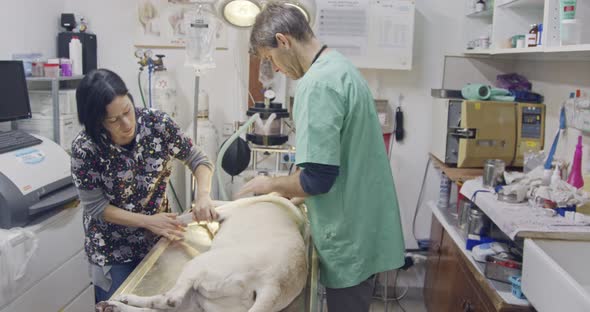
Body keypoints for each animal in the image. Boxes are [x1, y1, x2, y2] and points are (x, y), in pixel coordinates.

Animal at [96, 195, 310, 312]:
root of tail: (274, 283)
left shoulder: (222, 210)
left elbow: (186, 217)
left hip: (199, 266)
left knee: (170, 299)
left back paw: (124, 301)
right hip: (202, 301)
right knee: (159, 305)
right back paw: (117, 304)